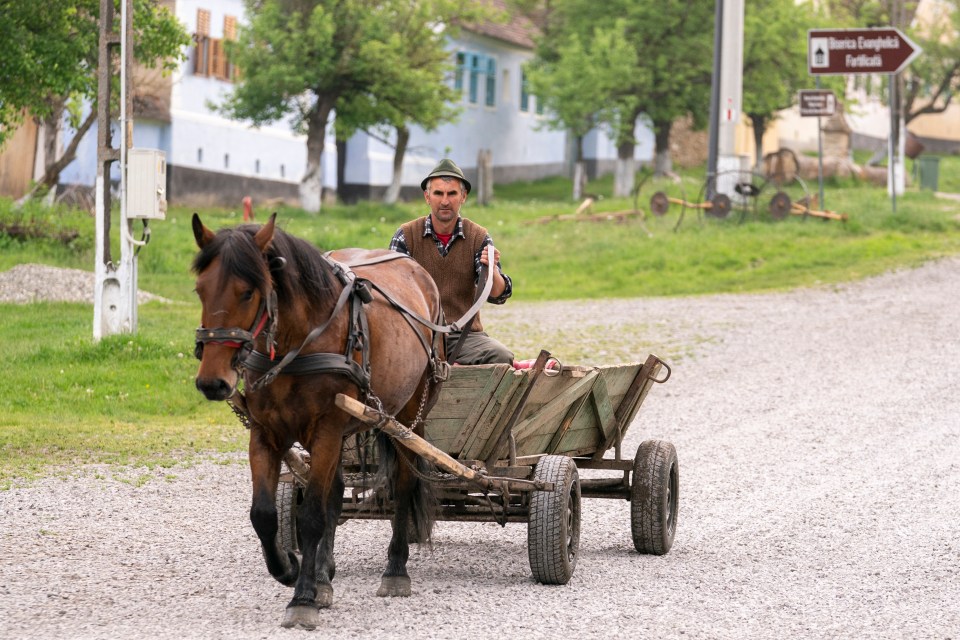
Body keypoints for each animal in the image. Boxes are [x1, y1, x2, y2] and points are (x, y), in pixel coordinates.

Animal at [191, 215, 446, 632]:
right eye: (200, 289)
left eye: (248, 292)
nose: (213, 382)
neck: (299, 341)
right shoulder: (266, 433)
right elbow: (264, 514)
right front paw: (290, 569)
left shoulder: (326, 429)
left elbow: (310, 516)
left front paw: (303, 598)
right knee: (335, 494)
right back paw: (324, 574)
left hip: (410, 415)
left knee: (404, 484)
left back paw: (395, 570)